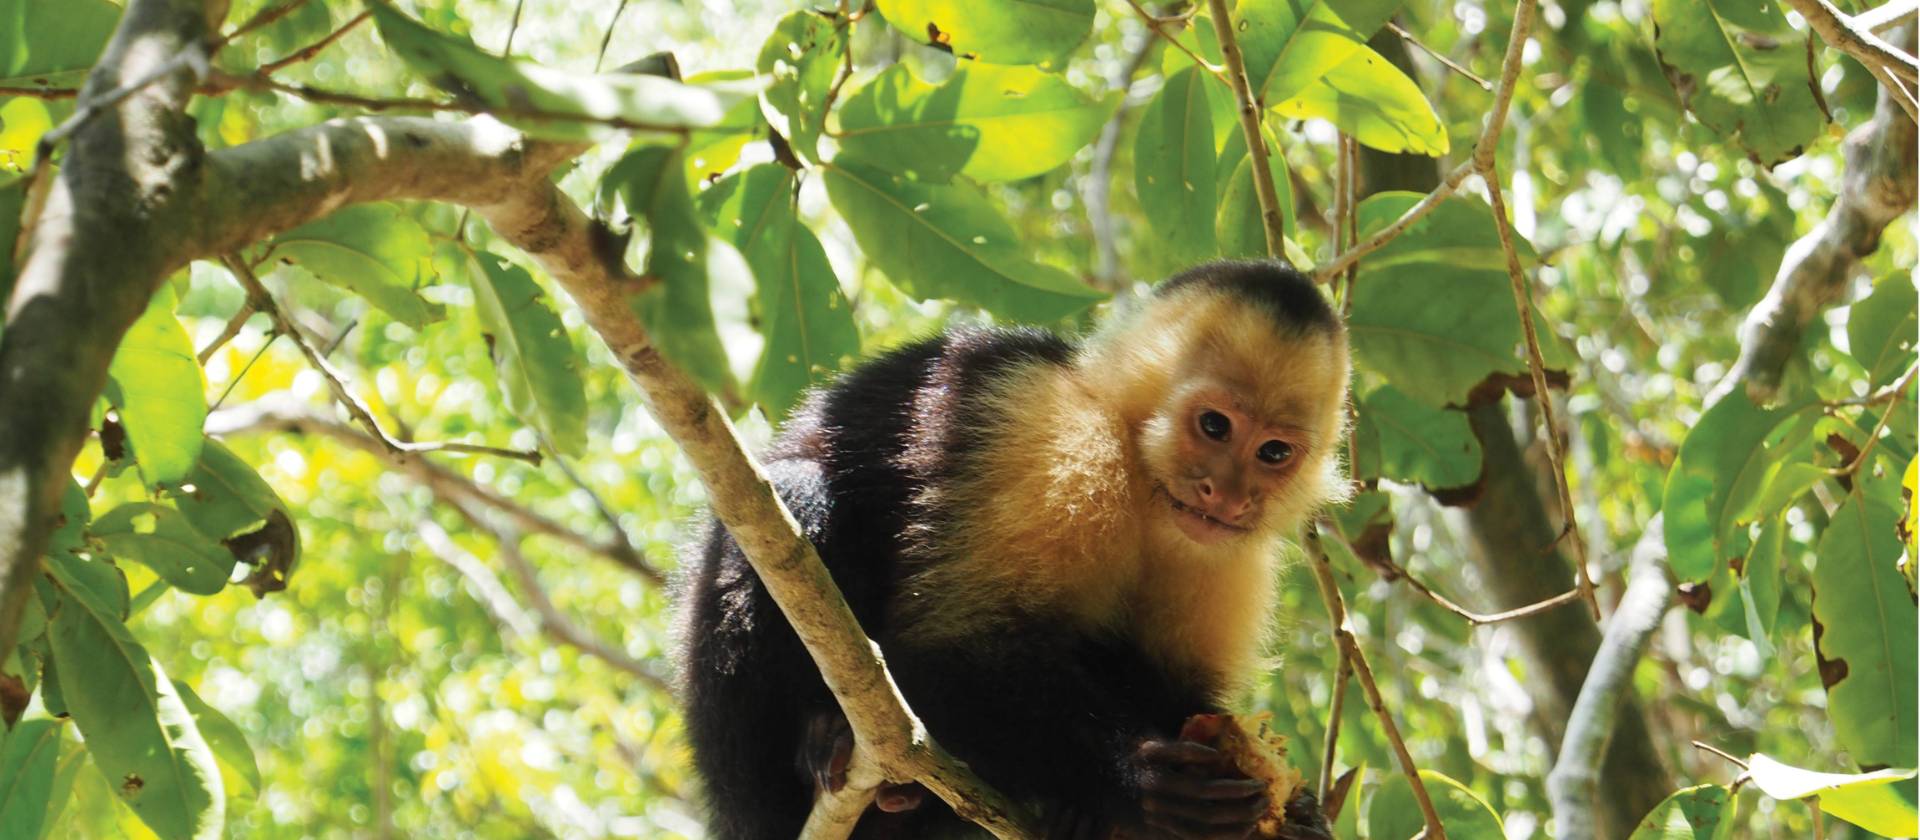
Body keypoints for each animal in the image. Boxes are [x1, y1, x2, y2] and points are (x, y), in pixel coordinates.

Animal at [675, 260, 1349, 840]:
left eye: (1273, 453)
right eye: (1214, 426)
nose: (1228, 495)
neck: (1142, 480)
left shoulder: (1231, 556)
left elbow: (1180, 694)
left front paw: (1297, 816)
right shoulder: (1051, 432)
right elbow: (950, 648)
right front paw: (1140, 781)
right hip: (734, 764)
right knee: (798, 495)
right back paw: (824, 745)